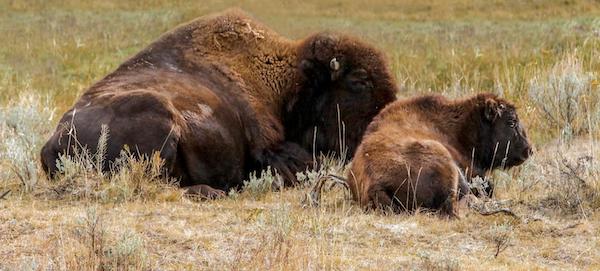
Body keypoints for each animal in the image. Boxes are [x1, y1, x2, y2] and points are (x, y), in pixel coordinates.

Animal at [41, 9, 398, 199]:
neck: (287, 82)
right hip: (159, 116)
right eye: (360, 81)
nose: (388, 120)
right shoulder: (268, 147)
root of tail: (51, 143)